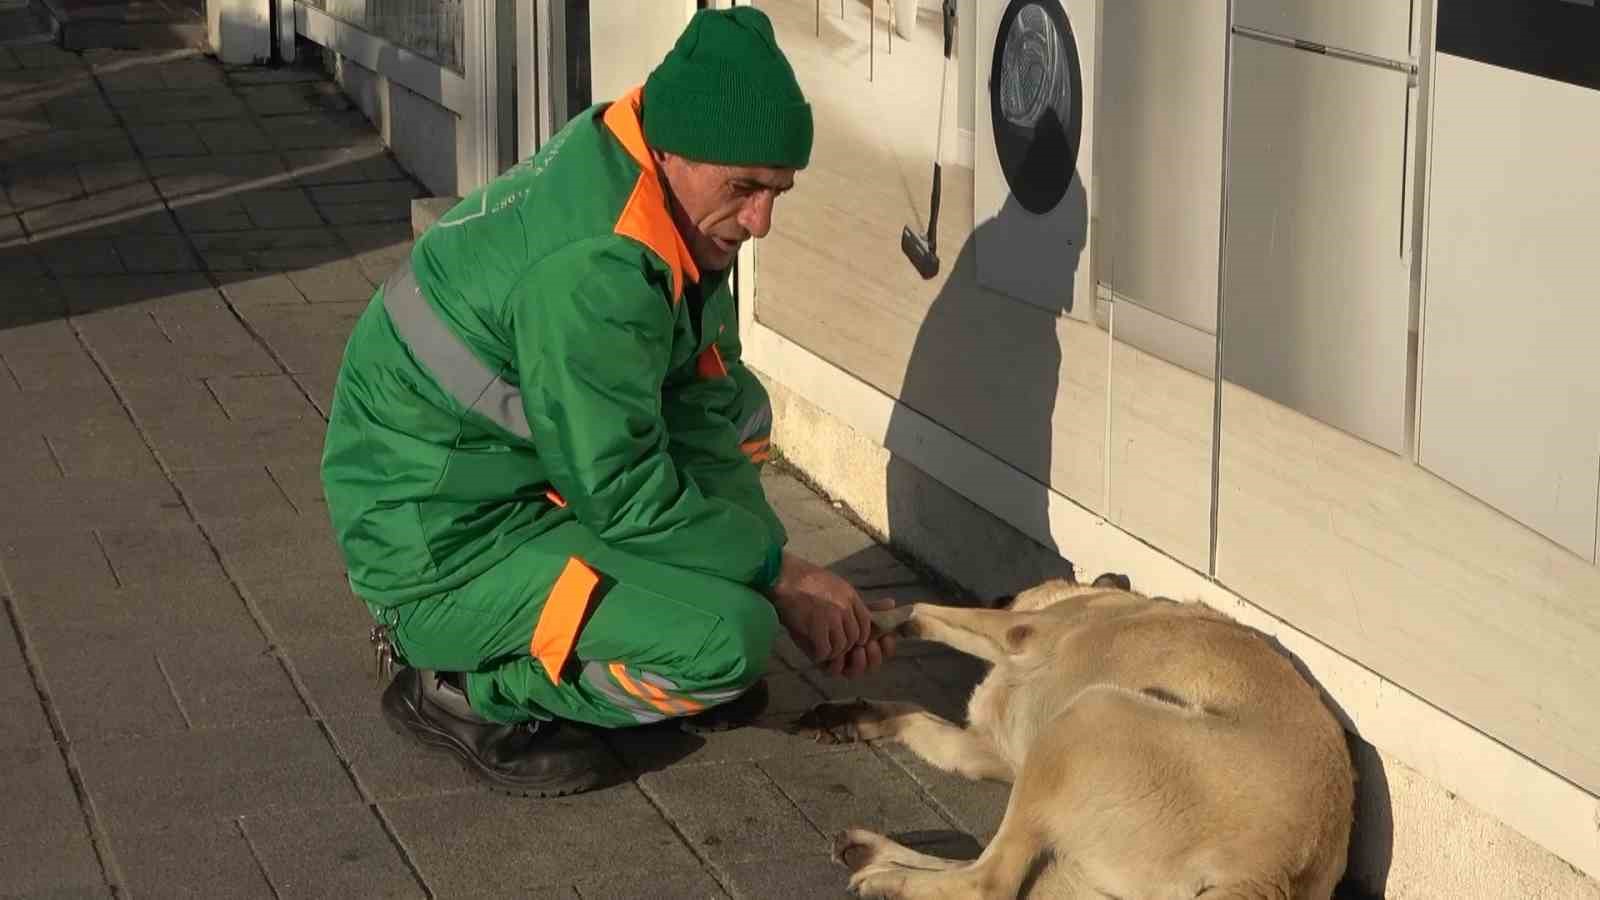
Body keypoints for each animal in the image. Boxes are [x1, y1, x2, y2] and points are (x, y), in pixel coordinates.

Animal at [787, 570, 1350, 890]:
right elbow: (915, 715)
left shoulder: (1021, 632)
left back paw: (891, 879)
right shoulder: (984, 752)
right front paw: (855, 715)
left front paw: (870, 617)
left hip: (1089, 715)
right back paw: (874, 856)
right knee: (998, 874)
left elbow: (921, 610)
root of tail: (1267, 875)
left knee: (988, 884)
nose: (1001, 593)